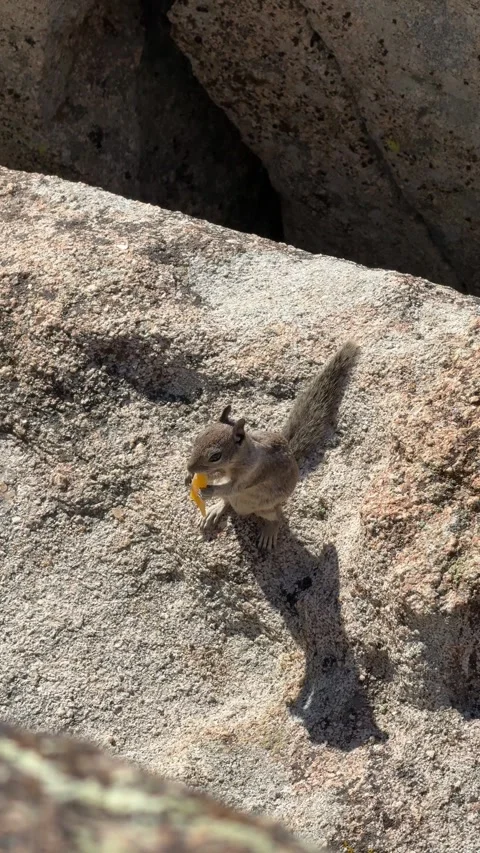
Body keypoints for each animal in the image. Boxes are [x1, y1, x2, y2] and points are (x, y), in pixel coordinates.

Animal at [186, 341, 359, 550]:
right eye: (197, 438)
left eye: (215, 456)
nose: (189, 467)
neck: (242, 457)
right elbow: (220, 480)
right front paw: (189, 478)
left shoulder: (253, 473)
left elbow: (230, 488)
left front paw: (208, 490)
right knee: (228, 502)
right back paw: (215, 510)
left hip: (267, 509)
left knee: (276, 518)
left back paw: (268, 533)